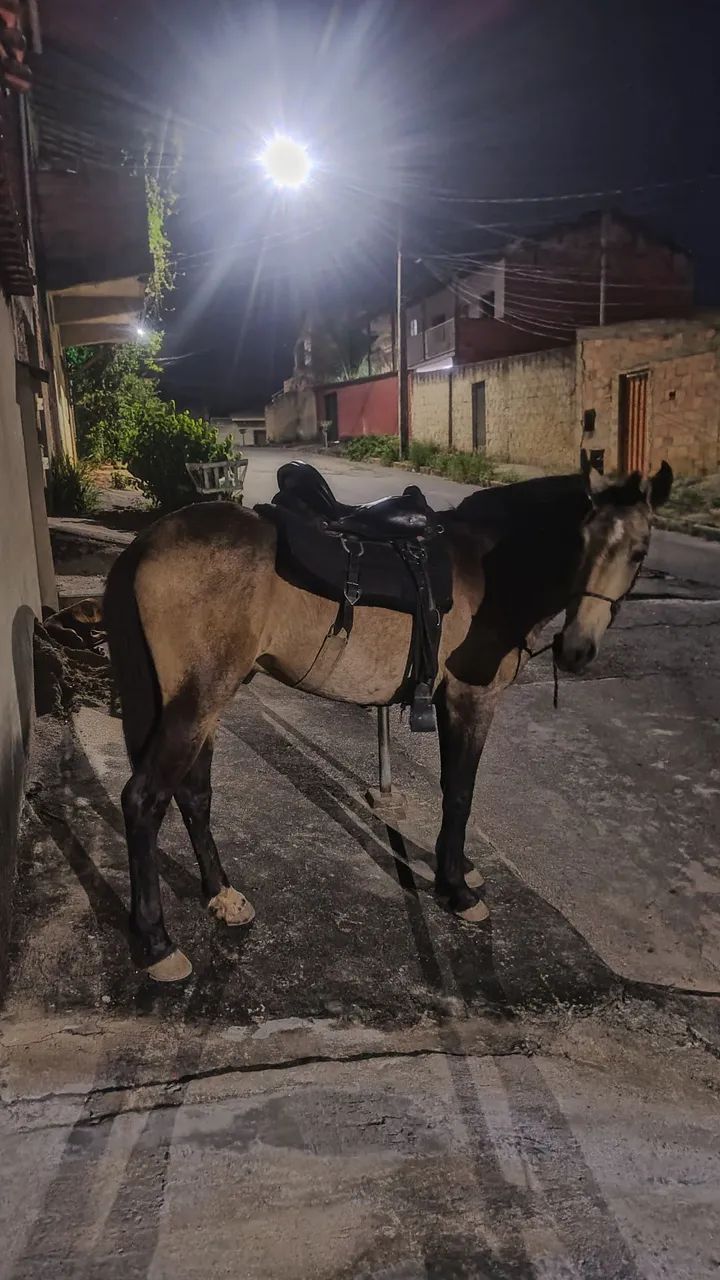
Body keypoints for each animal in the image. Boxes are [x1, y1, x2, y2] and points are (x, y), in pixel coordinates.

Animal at [103, 455, 673, 981]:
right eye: (581, 542)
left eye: (639, 552)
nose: (576, 650)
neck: (491, 568)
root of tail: (145, 545)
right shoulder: (471, 700)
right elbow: (461, 792)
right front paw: (457, 891)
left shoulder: (447, 701)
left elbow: (450, 787)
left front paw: (459, 868)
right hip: (198, 700)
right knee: (144, 800)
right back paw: (156, 943)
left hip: (203, 702)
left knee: (194, 795)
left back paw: (222, 895)